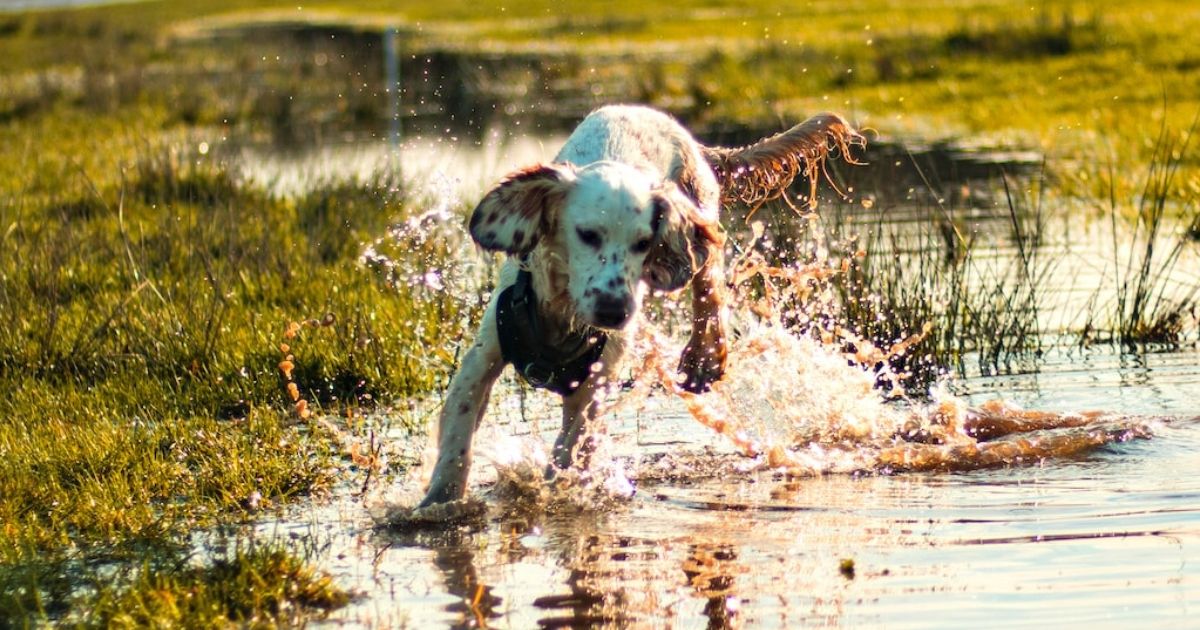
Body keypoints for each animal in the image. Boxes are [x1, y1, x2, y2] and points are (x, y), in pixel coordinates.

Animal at [417, 104, 859, 506]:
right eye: (586, 234)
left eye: (643, 243)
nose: (613, 311)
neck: (562, 313)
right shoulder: (485, 352)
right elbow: (460, 420)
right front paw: (440, 499)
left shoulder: (597, 377)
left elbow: (572, 446)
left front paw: (557, 490)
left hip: (700, 214)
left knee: (709, 287)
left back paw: (703, 358)